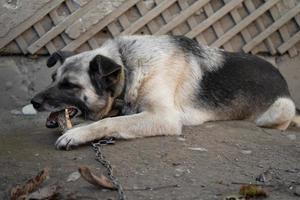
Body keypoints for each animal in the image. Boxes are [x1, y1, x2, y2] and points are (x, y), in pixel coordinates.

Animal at [31, 34, 300, 150]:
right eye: (54, 79)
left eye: (70, 85)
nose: (33, 102)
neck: (127, 65)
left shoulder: (163, 117)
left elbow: (109, 122)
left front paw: (76, 135)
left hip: (280, 108)